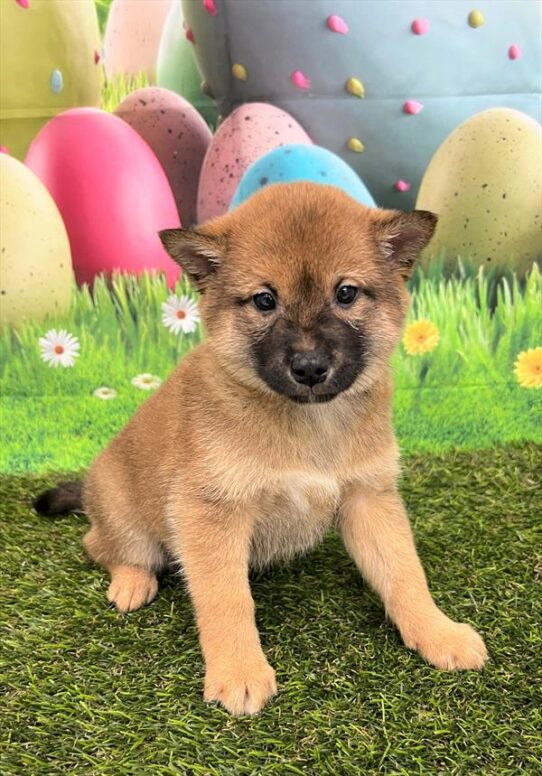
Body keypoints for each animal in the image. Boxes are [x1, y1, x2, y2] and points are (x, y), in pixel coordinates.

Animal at [36, 182, 490, 716]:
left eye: (346, 293)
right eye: (265, 300)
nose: (309, 367)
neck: (307, 425)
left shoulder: (369, 497)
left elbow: (404, 573)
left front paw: (438, 632)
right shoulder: (210, 512)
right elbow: (227, 599)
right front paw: (238, 671)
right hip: (129, 526)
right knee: (99, 545)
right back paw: (131, 581)